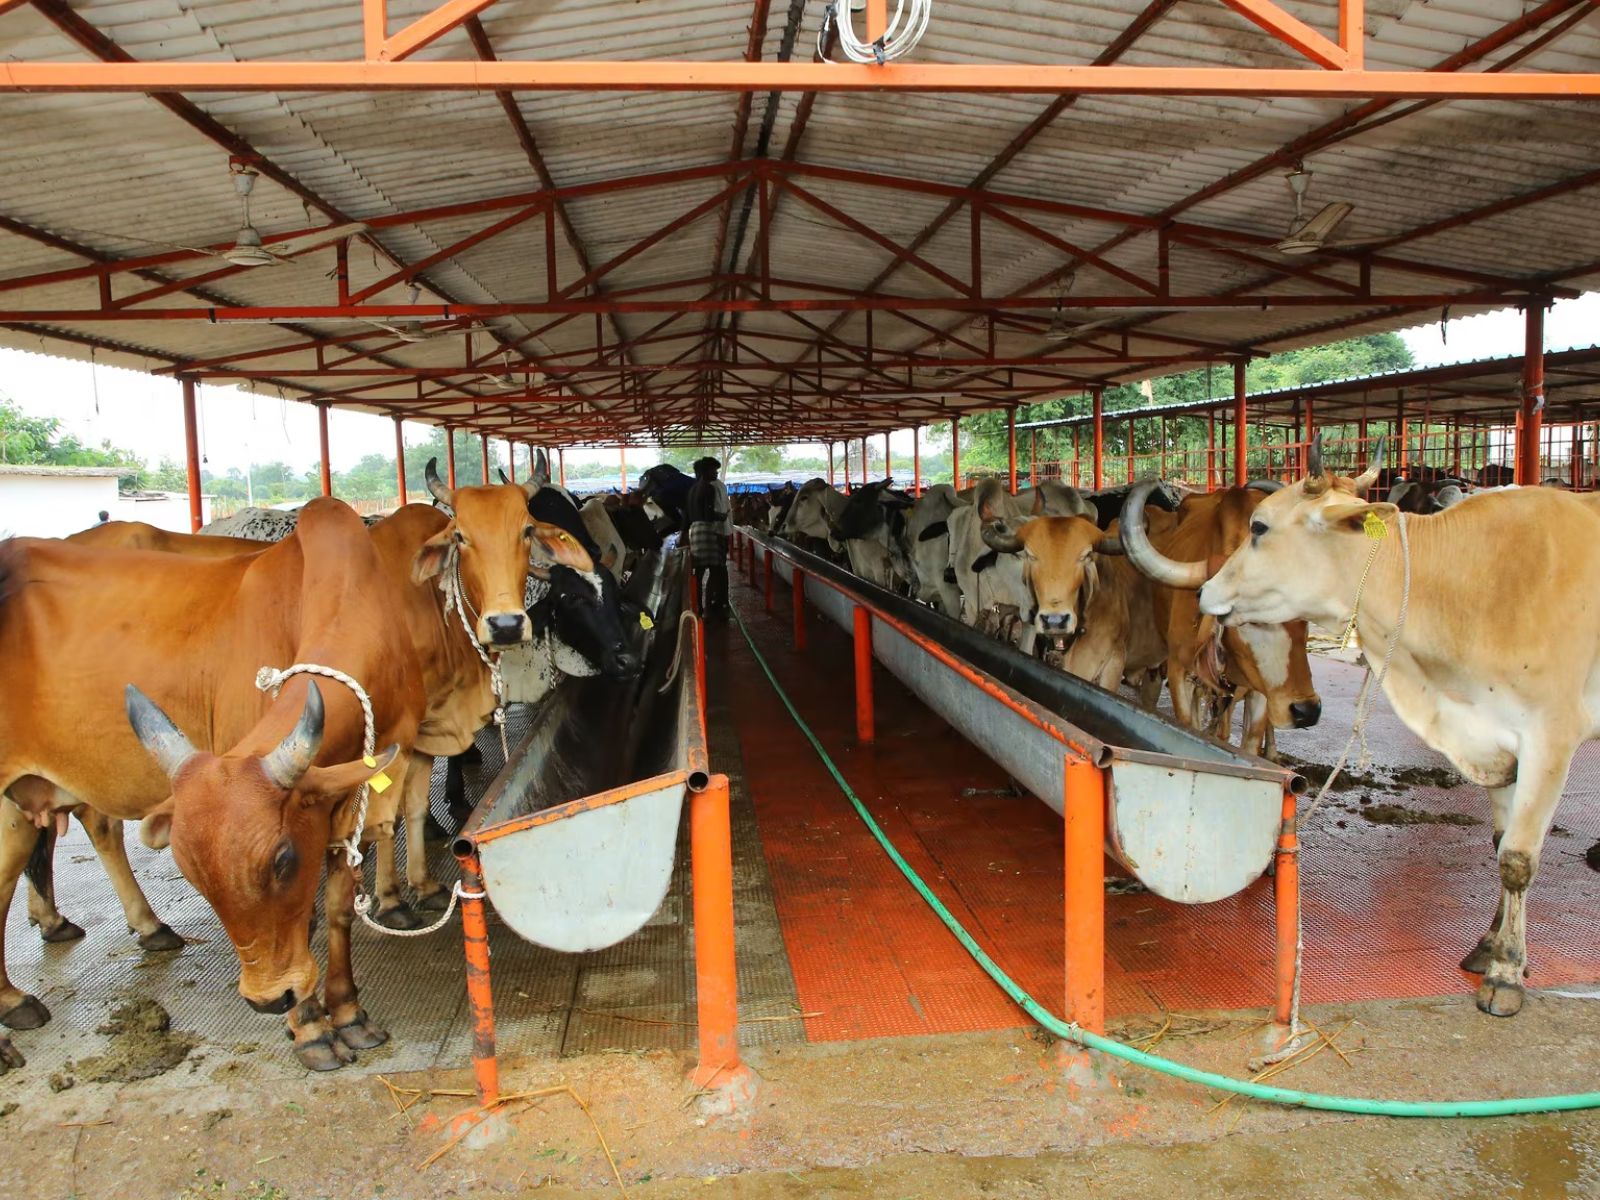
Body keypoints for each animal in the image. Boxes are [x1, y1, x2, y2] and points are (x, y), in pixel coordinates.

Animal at [0, 498, 425, 1072]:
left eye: (283, 860)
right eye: (194, 875)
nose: (268, 1001)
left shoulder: (342, 805)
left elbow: (337, 912)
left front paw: (349, 1014)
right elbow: (305, 924)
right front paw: (311, 1030)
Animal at [1119, 481, 1322, 760]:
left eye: (1304, 615)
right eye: (1253, 617)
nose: (1307, 711)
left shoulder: (1261, 690)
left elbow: (1251, 740)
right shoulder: (1179, 671)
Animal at [1193, 435, 1600, 1018]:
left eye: (1260, 527)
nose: (1204, 591)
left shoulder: (1550, 736)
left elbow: (1519, 857)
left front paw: (1506, 972)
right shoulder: (1496, 738)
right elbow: (1501, 842)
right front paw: (1491, 946)